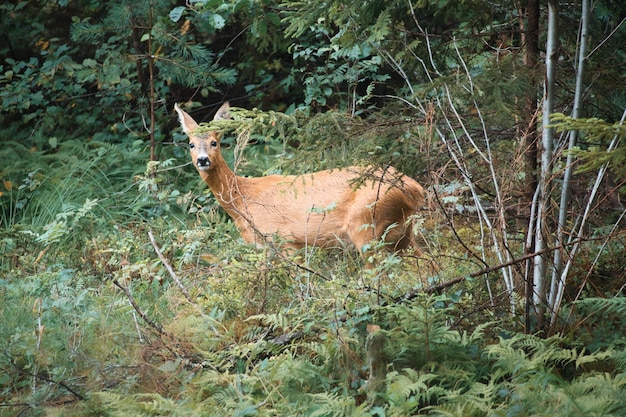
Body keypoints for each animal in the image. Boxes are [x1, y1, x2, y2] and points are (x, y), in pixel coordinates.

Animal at [173, 103, 426, 266]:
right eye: (191, 144)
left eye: (214, 142)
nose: (202, 160)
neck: (243, 199)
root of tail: (415, 188)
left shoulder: (285, 240)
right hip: (401, 232)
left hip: (365, 223)